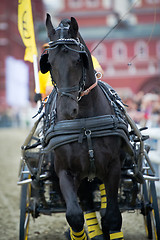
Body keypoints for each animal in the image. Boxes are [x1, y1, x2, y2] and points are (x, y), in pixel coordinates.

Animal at [40, 14, 132, 240]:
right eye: (49, 63)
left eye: (77, 60)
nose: (67, 110)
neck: (84, 125)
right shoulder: (65, 171)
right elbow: (74, 215)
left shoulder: (113, 167)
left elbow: (112, 216)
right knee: (87, 203)